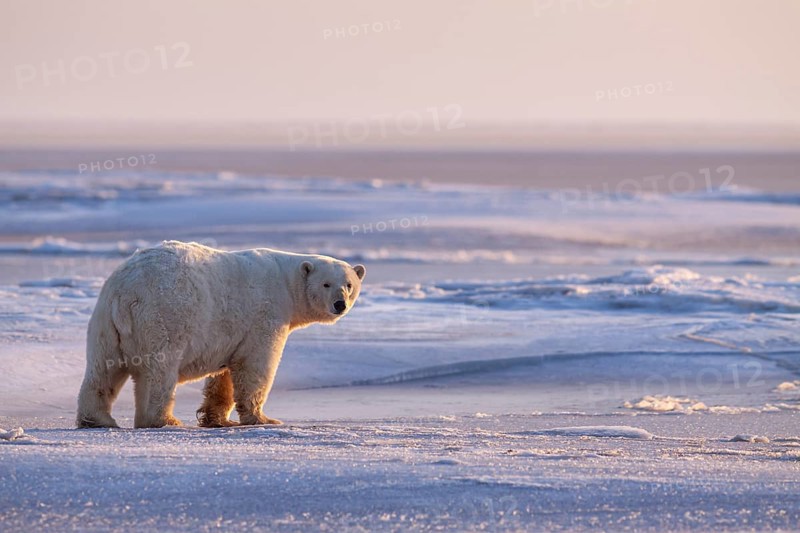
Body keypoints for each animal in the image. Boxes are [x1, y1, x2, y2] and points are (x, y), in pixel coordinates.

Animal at [76, 240, 365, 429]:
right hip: (162, 317)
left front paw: (217, 418)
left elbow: (223, 374)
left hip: (105, 323)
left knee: (102, 370)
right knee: (158, 372)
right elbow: (256, 367)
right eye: (326, 284)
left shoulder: (230, 332)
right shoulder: (265, 315)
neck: (286, 282)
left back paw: (96, 419)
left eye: (349, 284)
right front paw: (264, 418)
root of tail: (125, 292)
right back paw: (165, 420)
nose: (339, 304)